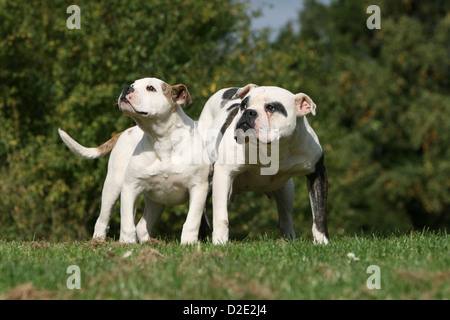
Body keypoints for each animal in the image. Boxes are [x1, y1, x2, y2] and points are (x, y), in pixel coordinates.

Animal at [57, 77, 209, 242]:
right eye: (133, 84)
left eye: (151, 88)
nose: (127, 88)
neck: (161, 140)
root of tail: (126, 131)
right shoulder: (131, 186)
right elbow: (127, 222)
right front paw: (126, 243)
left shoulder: (198, 187)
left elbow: (192, 221)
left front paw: (189, 243)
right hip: (113, 186)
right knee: (103, 219)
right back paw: (98, 241)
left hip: (157, 200)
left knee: (142, 225)